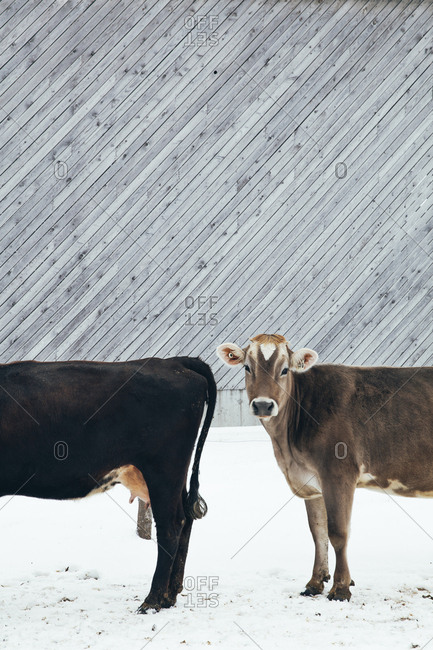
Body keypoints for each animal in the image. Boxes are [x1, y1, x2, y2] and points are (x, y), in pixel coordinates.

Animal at [0, 356, 216, 613]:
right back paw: (169, 596)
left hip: (163, 468)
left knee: (170, 527)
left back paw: (152, 600)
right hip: (172, 476)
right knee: (184, 520)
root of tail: (172, 362)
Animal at [217, 333, 433, 601]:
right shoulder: (311, 482)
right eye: (247, 367)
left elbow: (338, 532)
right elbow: (318, 532)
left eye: (285, 369)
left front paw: (340, 587)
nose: (264, 405)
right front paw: (315, 582)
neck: (287, 446)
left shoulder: (338, 474)